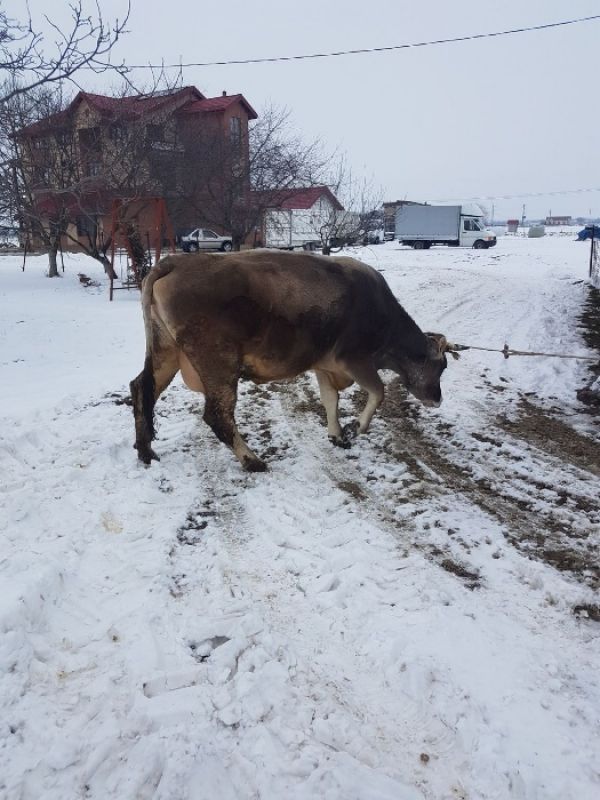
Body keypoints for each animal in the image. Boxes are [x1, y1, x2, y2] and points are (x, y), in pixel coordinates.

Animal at [130, 250, 457, 471]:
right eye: (441, 366)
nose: (438, 398)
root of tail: (176, 261)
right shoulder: (355, 359)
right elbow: (378, 391)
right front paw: (358, 427)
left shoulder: (325, 363)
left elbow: (330, 399)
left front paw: (337, 435)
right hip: (218, 363)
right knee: (218, 415)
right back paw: (252, 461)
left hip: (165, 352)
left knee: (141, 389)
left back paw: (146, 452)